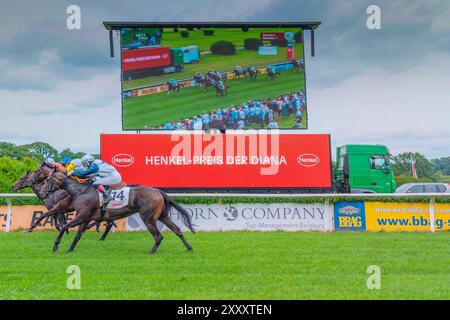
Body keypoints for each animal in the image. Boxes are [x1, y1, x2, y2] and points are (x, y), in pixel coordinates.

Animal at [41, 170, 195, 255]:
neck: (81, 192)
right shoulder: (85, 218)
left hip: (148, 218)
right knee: (177, 230)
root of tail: (158, 191)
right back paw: (189, 248)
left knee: (158, 236)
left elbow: (64, 227)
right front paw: (70, 250)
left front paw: (55, 246)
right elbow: (77, 236)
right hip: (162, 216)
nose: (42, 193)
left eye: (48, 179)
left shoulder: (82, 216)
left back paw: (151, 252)